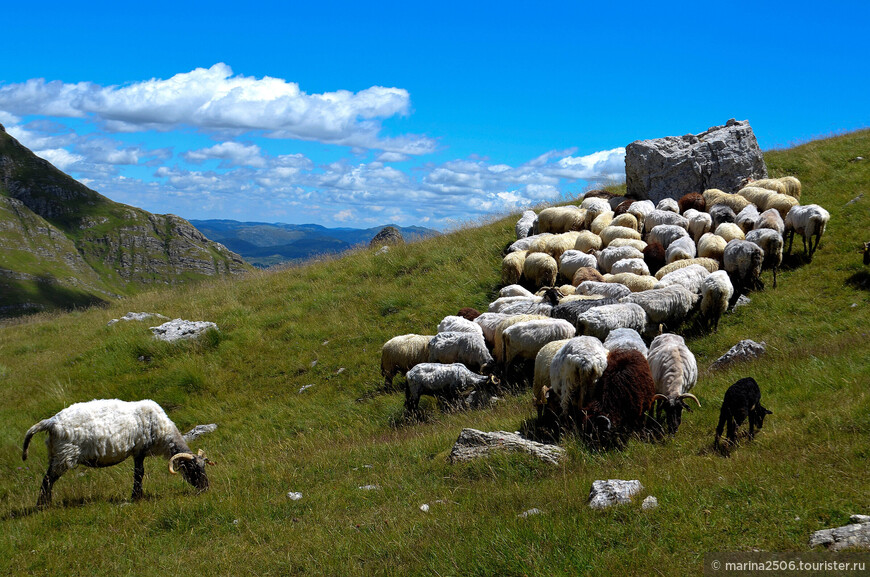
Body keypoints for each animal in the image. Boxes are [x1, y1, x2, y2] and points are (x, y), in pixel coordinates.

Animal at [21, 398, 212, 506]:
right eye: (192, 469)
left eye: (204, 467)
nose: (206, 489)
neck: (164, 433)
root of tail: (51, 422)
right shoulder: (139, 449)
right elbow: (139, 473)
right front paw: (137, 497)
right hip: (64, 455)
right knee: (47, 480)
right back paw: (43, 506)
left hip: (56, 454)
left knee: (48, 480)